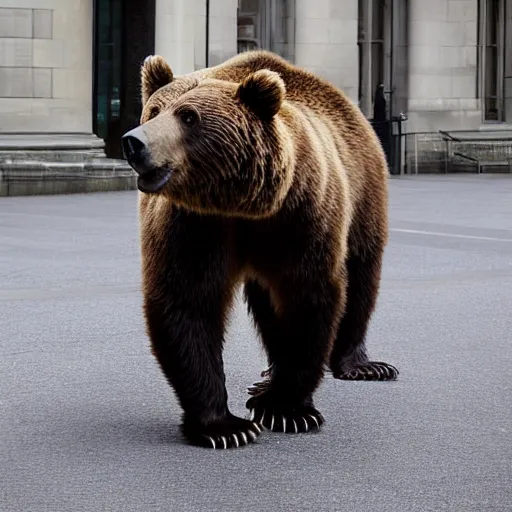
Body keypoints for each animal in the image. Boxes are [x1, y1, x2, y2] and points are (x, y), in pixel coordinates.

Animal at [122, 50, 398, 450]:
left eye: (188, 115)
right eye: (154, 110)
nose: (133, 142)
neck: (243, 207)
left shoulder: (301, 214)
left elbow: (308, 296)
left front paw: (286, 410)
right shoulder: (194, 224)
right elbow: (187, 300)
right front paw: (225, 427)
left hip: (363, 192)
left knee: (362, 275)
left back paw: (362, 365)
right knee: (266, 301)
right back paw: (266, 378)